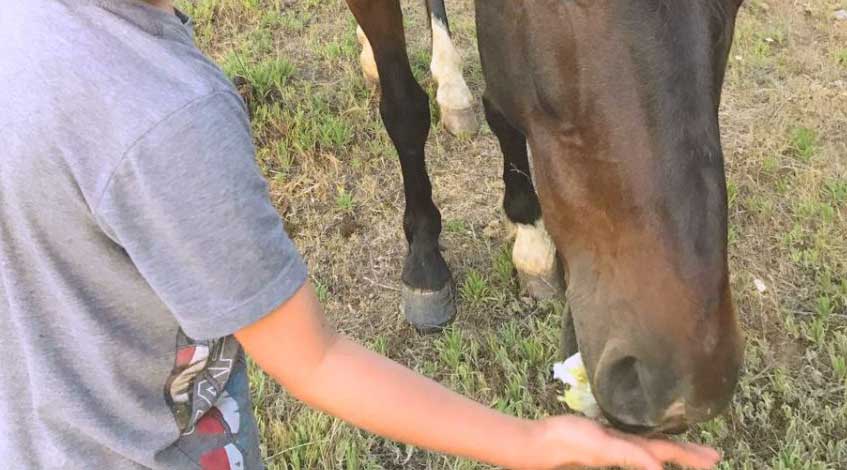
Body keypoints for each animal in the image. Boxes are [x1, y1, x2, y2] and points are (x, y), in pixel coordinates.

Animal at [346, 0, 745, 434]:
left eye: (738, 4)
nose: (675, 391)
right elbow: (405, 109)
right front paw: (424, 256)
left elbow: (502, 111)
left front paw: (530, 238)